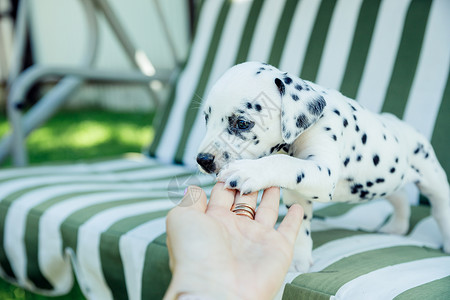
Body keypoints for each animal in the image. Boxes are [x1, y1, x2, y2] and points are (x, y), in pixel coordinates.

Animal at [196, 62, 450, 274]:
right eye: (206, 118)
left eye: (242, 123)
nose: (203, 159)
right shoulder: (297, 191)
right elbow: (300, 222)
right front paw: (298, 258)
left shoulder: (324, 173)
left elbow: (283, 163)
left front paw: (249, 171)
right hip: (385, 183)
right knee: (401, 197)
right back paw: (397, 227)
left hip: (431, 177)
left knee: (440, 206)